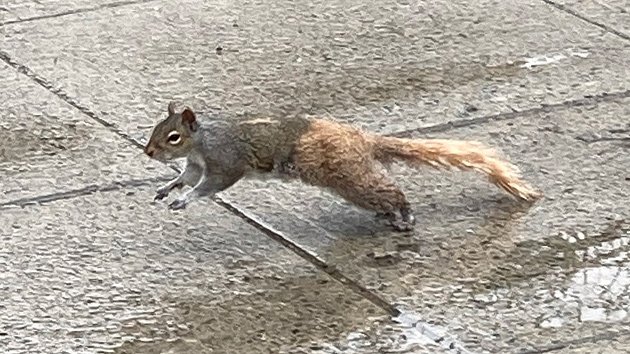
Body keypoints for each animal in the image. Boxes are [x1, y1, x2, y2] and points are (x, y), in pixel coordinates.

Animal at [144, 101, 544, 231]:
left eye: (173, 136)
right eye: (155, 129)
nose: (148, 152)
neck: (203, 143)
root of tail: (363, 140)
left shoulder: (226, 163)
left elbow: (210, 186)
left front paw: (186, 199)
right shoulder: (196, 165)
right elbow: (187, 177)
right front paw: (169, 188)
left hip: (347, 176)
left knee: (389, 191)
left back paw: (404, 215)